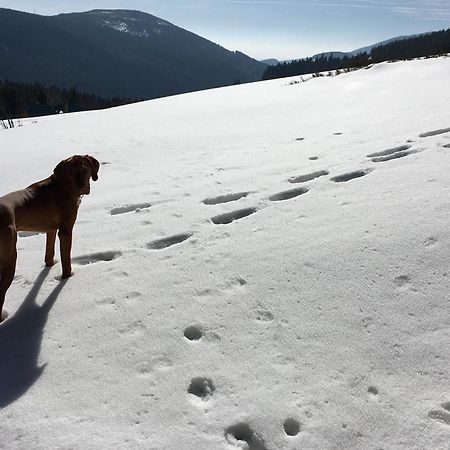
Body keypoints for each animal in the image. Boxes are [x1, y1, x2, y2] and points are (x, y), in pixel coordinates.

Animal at [0, 155, 99, 320]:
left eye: (85, 169)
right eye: (70, 172)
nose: (82, 188)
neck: (64, 186)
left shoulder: (51, 229)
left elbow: (49, 253)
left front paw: (50, 265)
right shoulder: (65, 231)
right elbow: (66, 261)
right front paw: (67, 278)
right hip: (10, 258)